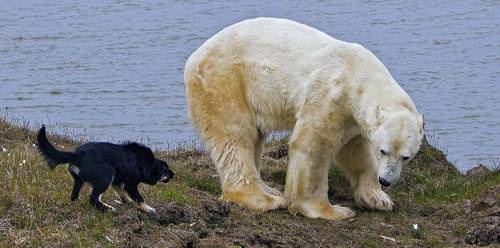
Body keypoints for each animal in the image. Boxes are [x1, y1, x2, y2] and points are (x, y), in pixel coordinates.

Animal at [36, 126, 174, 213]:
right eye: (165, 170)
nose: (173, 174)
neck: (143, 162)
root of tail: (78, 155)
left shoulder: (117, 182)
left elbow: (122, 194)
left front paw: (128, 202)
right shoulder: (131, 184)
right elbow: (139, 198)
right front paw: (148, 209)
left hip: (79, 180)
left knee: (74, 196)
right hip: (106, 175)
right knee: (93, 198)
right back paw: (108, 209)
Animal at [183, 17, 422, 221]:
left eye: (406, 156)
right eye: (384, 150)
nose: (386, 181)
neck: (360, 75)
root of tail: (194, 57)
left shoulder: (353, 117)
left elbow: (356, 151)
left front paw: (378, 199)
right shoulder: (331, 96)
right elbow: (313, 145)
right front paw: (331, 210)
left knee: (254, 138)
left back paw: (269, 189)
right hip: (225, 81)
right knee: (235, 136)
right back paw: (264, 199)